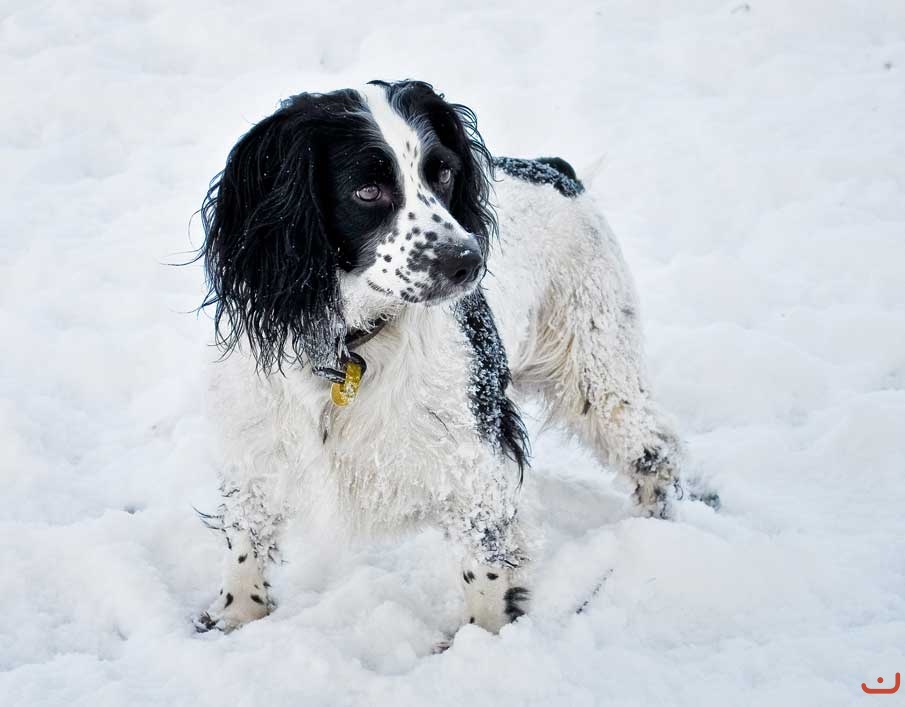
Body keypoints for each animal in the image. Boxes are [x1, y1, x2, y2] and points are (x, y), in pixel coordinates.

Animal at [194, 80, 694, 635]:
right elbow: (246, 538)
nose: (468, 261)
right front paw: (237, 618)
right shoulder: (255, 444)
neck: (349, 347)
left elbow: (487, 561)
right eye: (367, 190)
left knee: (656, 448)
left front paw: (482, 639)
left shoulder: (477, 456)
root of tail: (554, 169)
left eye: (445, 172)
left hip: (597, 366)